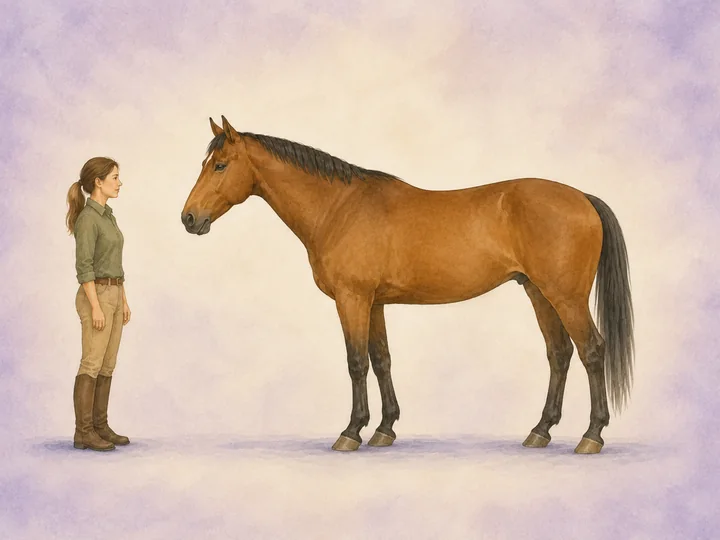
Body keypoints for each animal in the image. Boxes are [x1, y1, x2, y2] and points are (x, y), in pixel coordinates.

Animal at [181, 116, 634, 454]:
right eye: (205, 163)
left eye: (220, 165)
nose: (189, 218)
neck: (339, 208)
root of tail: (582, 197)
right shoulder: (375, 303)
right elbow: (381, 360)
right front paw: (384, 430)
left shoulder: (352, 299)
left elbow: (356, 362)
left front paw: (351, 432)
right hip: (538, 292)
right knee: (559, 354)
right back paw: (540, 431)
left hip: (565, 297)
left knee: (591, 351)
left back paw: (591, 436)